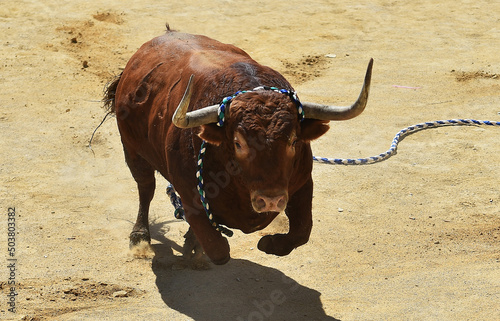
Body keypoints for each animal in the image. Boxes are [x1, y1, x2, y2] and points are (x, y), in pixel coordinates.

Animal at [105, 26, 372, 264]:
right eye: (237, 143)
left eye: (294, 141)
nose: (271, 200)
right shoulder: (188, 191)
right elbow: (218, 249)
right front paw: (196, 245)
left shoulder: (303, 182)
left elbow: (302, 231)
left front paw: (269, 243)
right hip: (132, 149)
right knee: (145, 188)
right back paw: (140, 237)